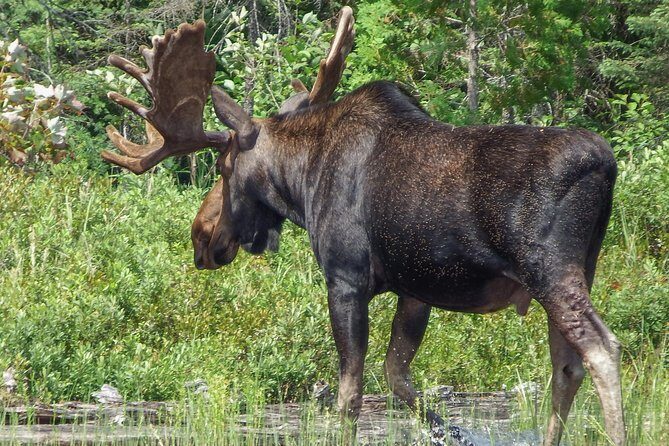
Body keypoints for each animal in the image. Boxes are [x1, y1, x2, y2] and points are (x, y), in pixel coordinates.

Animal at [102, 7, 625, 445]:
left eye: (223, 166)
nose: (201, 236)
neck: (302, 183)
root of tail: (606, 164)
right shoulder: (416, 287)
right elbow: (397, 376)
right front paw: (451, 431)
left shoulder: (346, 278)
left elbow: (348, 393)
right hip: (582, 267)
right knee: (566, 365)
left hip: (549, 269)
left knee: (602, 349)